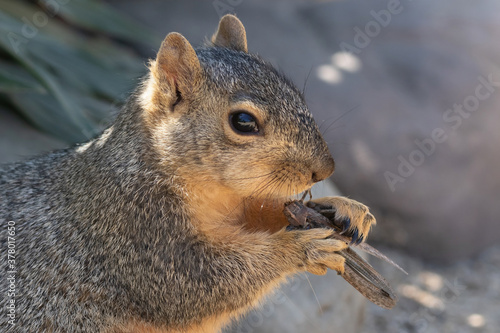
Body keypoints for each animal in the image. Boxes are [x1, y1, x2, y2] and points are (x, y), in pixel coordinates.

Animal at [0, 14, 376, 330]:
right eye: (243, 121)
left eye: (295, 93)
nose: (325, 169)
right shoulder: (134, 231)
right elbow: (196, 285)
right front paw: (299, 247)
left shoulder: (236, 204)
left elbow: (265, 209)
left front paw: (341, 207)